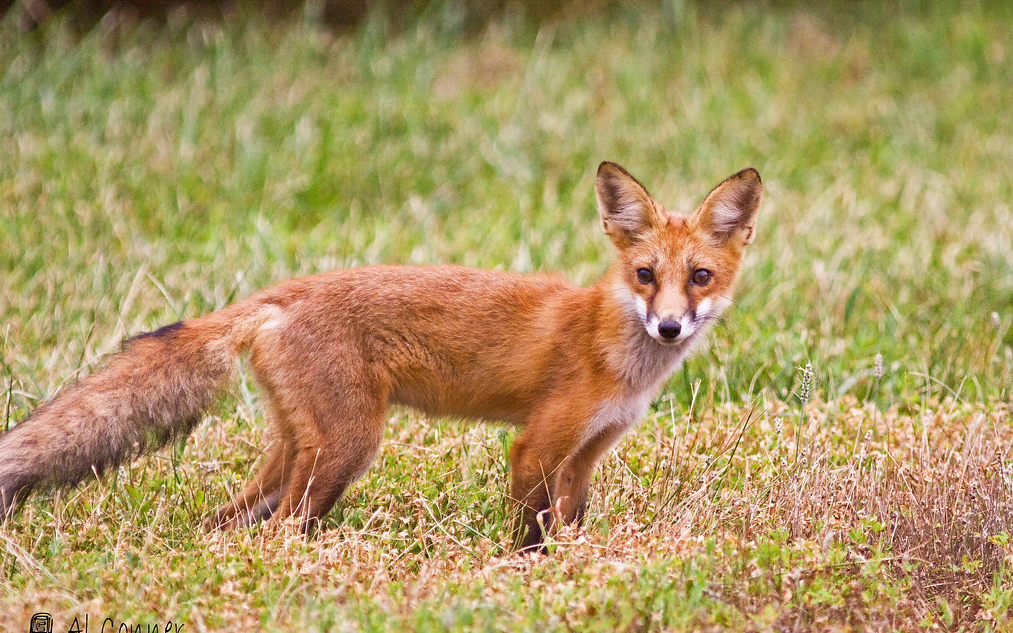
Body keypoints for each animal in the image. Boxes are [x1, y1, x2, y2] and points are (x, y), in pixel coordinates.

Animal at [0, 162, 761, 550]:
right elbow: (529, 536)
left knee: (225, 523)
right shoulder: (536, 445)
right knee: (277, 532)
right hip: (348, 447)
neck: (618, 357)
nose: (669, 327)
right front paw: (526, 576)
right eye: (644, 275)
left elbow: (568, 525)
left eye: (699, 277)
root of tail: (281, 292)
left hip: (299, 453)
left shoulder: (584, 456)